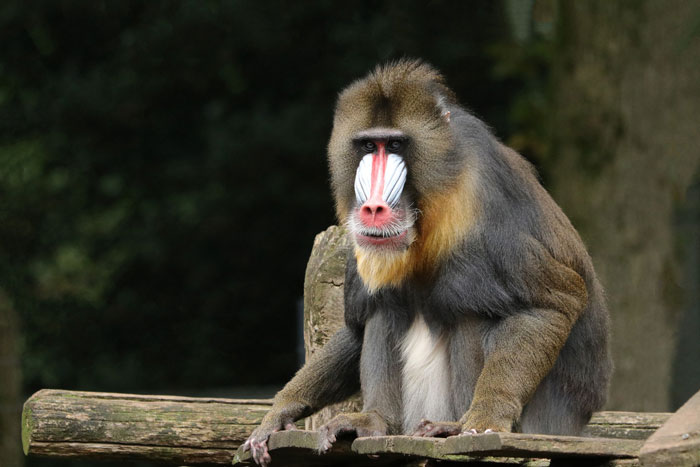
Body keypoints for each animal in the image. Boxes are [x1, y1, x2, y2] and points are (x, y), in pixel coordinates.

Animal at [243, 60, 612, 466]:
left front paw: (486, 418)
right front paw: (281, 410)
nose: (373, 208)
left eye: (396, 145)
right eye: (369, 145)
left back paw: (451, 427)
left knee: (471, 307)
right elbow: (357, 326)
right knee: (384, 306)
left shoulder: (487, 209)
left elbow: (550, 304)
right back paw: (373, 422)